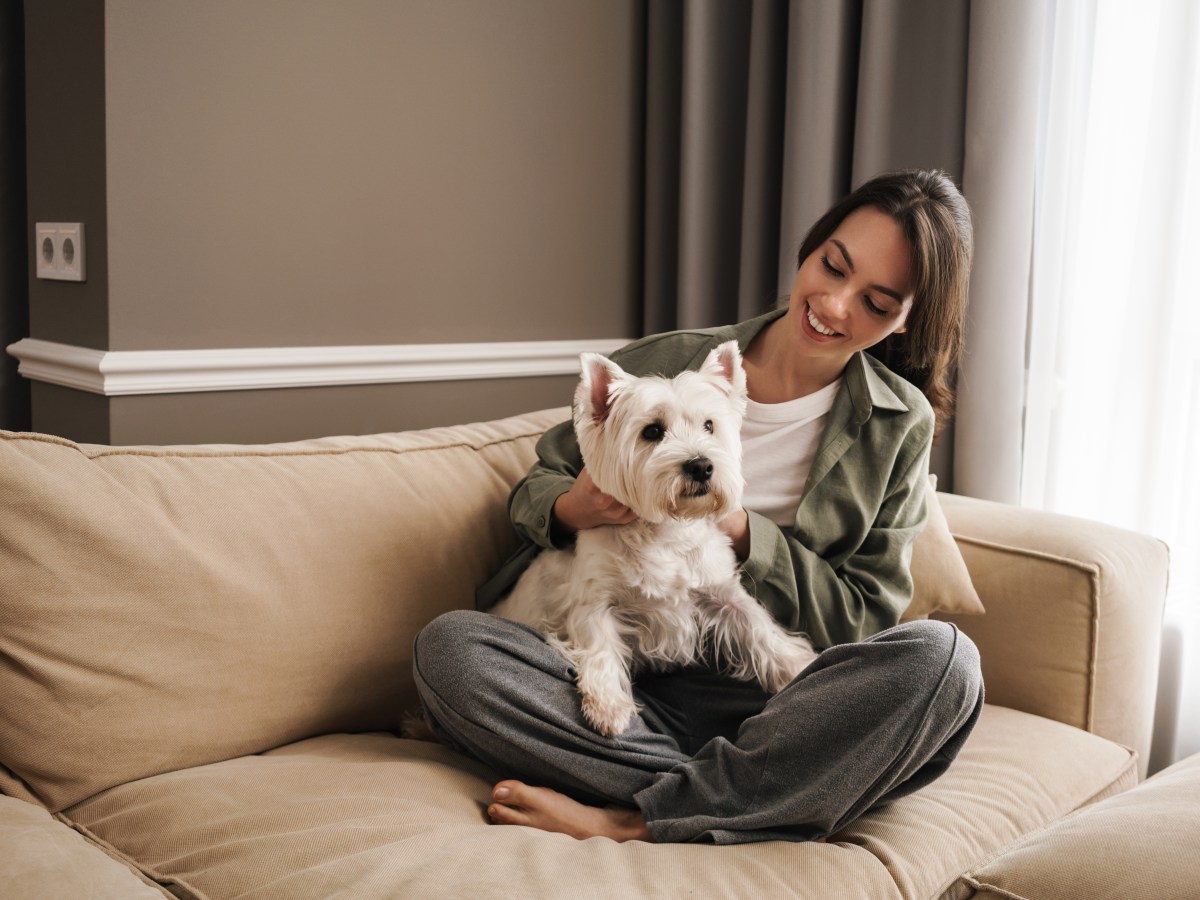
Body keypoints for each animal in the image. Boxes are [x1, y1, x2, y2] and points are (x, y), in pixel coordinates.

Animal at [492, 340, 820, 734]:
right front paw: (609, 706)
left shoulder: (722, 591)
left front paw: (801, 664)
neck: (667, 529)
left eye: (709, 425)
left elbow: (759, 627)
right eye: (651, 431)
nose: (701, 466)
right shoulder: (594, 602)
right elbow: (600, 648)